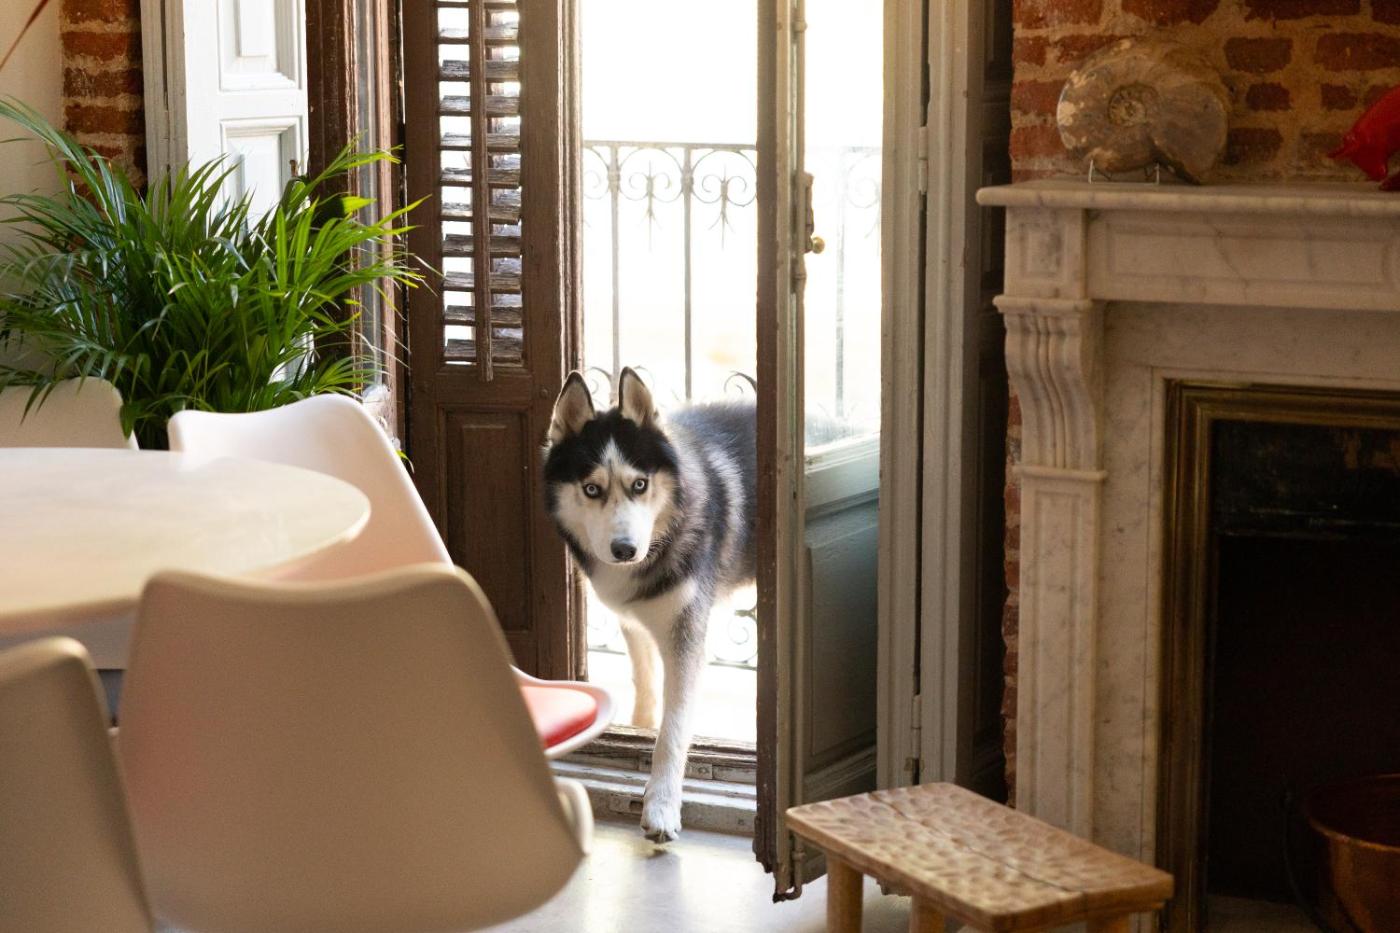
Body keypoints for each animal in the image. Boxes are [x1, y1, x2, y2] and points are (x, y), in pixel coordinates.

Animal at [542, 367, 756, 841]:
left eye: (639, 484)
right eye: (591, 489)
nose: (624, 550)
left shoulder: (687, 635)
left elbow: (673, 731)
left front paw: (661, 807)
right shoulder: (631, 616)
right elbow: (643, 676)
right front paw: (640, 722)